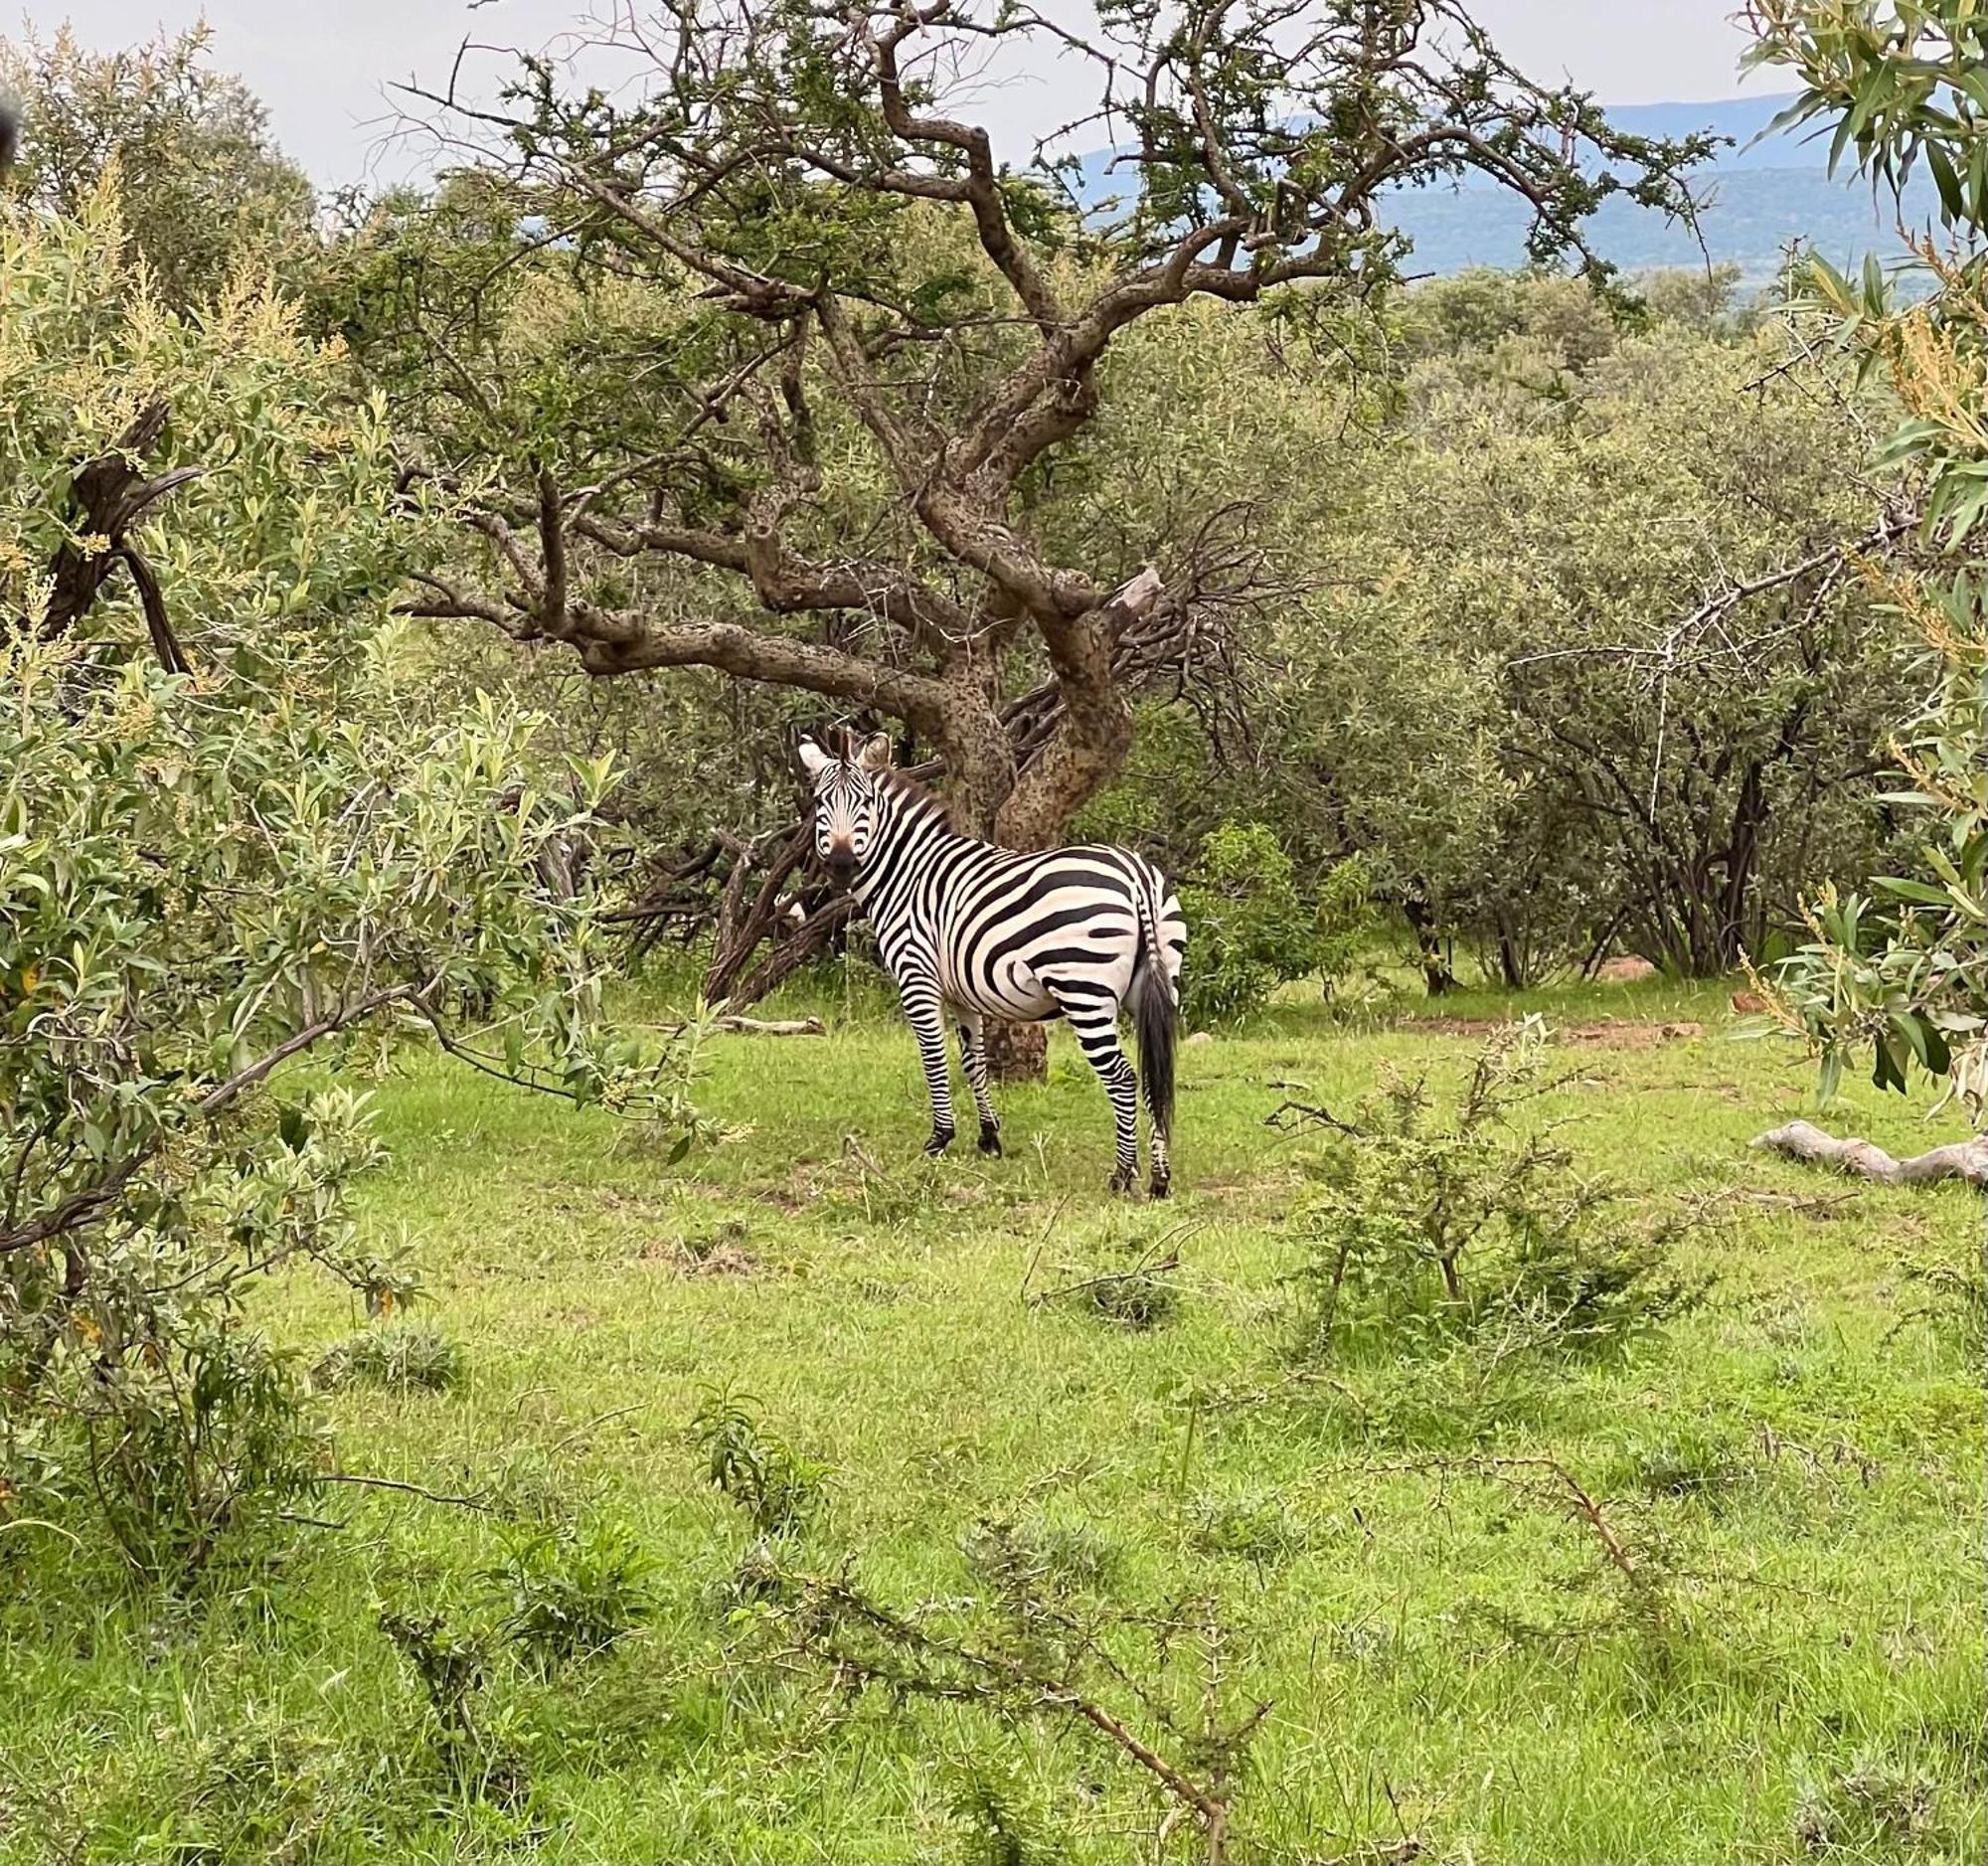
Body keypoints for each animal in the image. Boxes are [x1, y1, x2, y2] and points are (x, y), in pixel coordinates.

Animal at [799, 728, 1185, 1193]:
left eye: (866, 803)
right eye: (820, 802)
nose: (840, 865)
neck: (907, 874)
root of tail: (1136, 876)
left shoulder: (917, 978)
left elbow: (933, 1058)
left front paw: (939, 1139)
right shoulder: (962, 993)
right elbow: (973, 1061)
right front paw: (989, 1137)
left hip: (1083, 990)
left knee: (1123, 1077)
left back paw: (1122, 1174)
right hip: (1157, 985)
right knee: (1154, 1076)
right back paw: (1160, 1179)